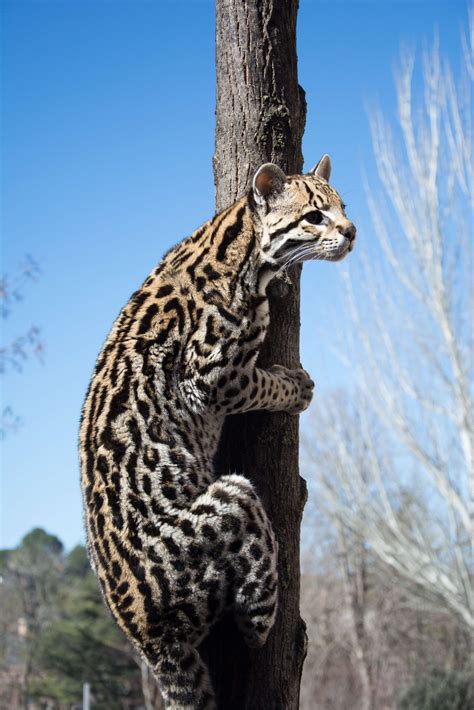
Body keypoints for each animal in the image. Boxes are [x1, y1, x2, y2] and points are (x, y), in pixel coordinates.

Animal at [80, 157, 356, 710]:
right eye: (316, 216)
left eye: (343, 206)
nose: (353, 230)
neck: (236, 244)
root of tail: (145, 638)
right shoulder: (208, 376)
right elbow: (258, 381)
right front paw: (295, 386)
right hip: (233, 496)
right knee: (254, 611)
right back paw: (274, 615)